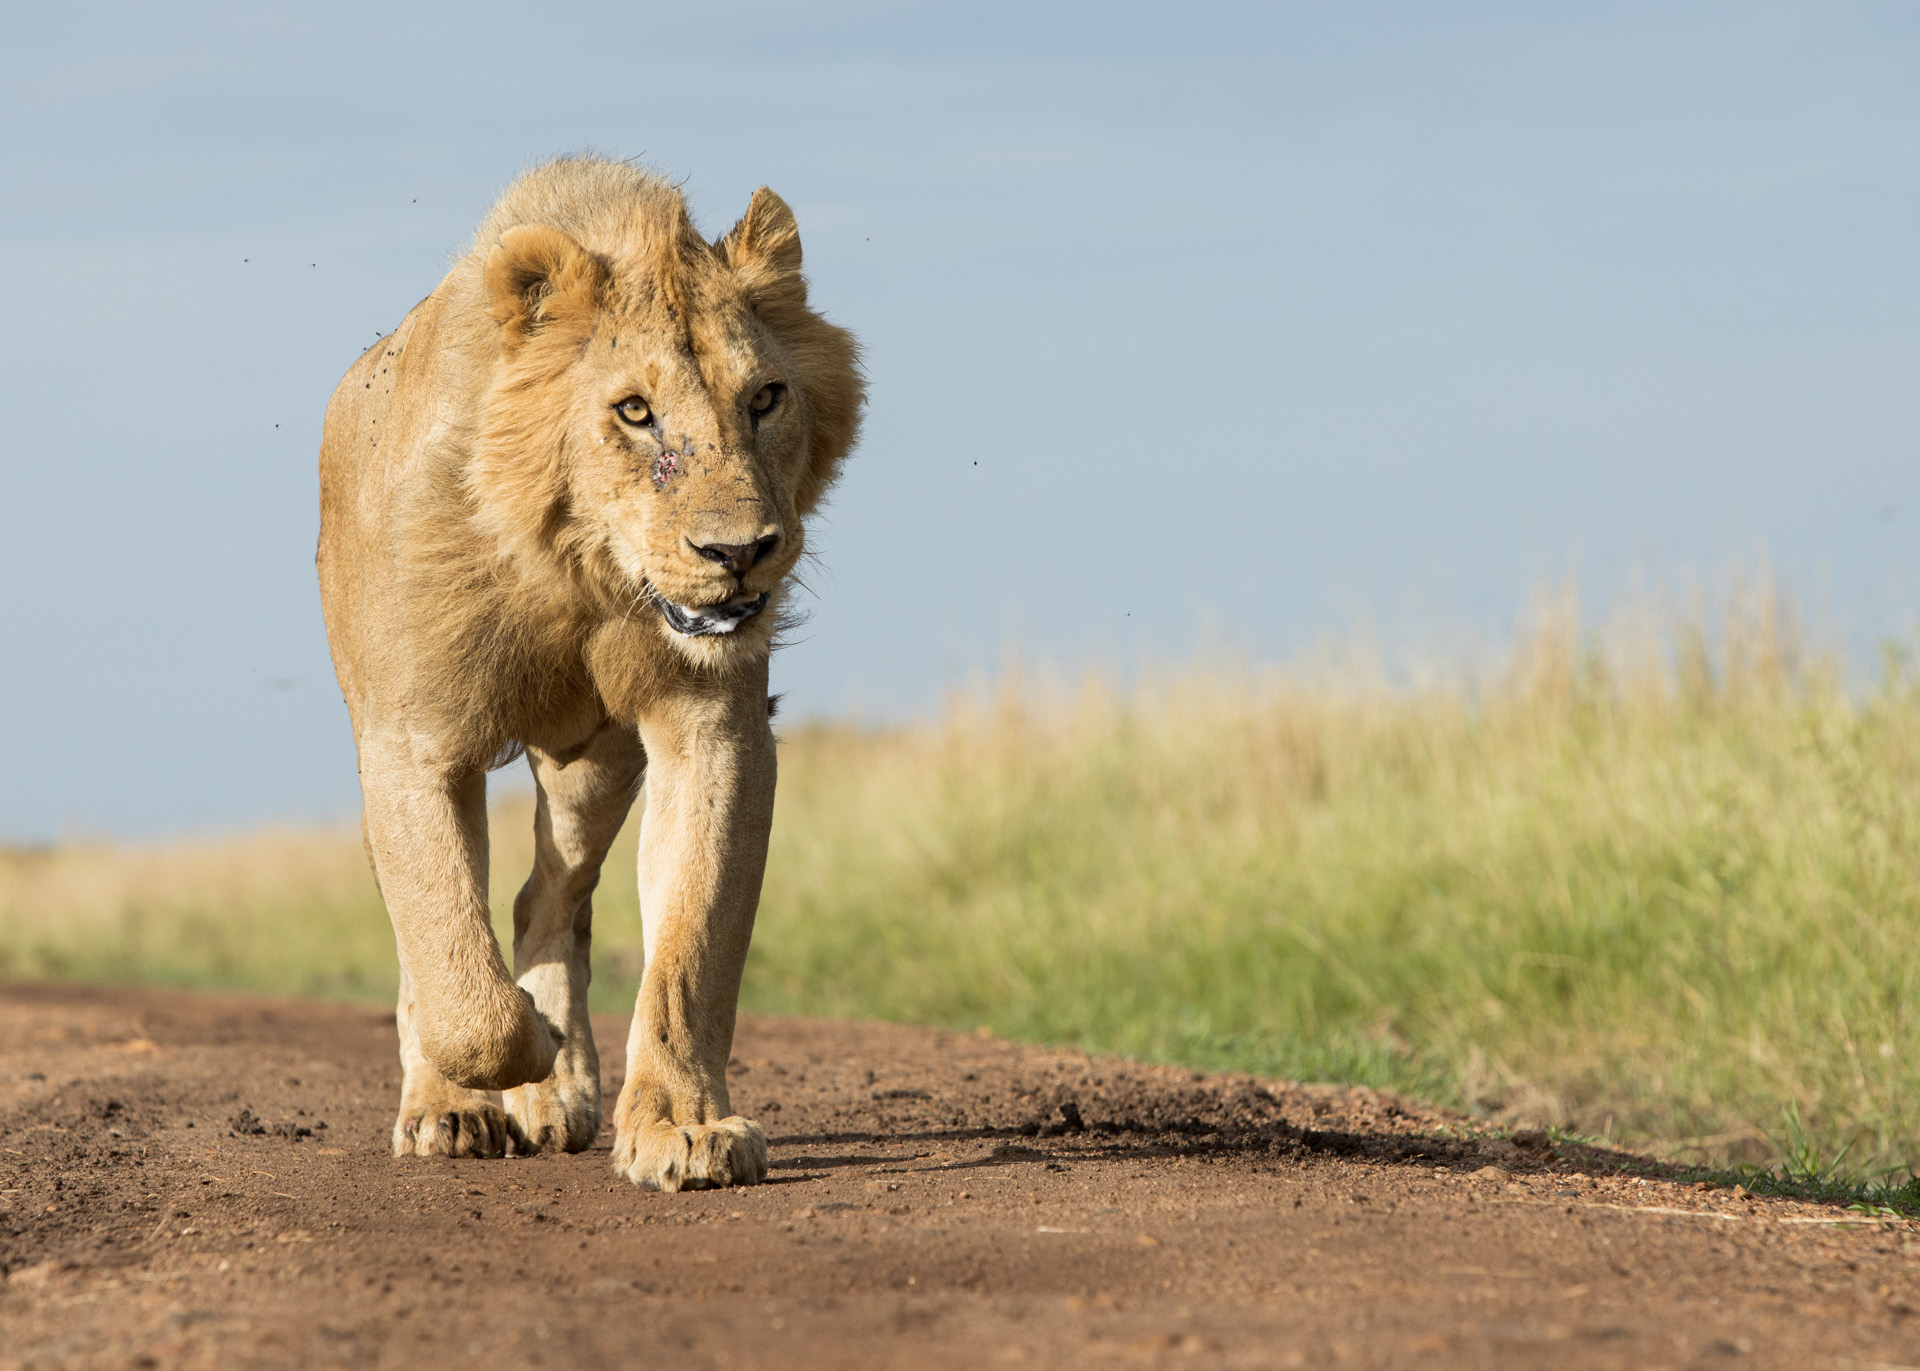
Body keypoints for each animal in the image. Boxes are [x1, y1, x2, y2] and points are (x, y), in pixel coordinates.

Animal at [316, 157, 864, 1182]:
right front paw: (517, 1046)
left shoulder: (709, 723)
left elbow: (691, 942)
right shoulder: (412, 741)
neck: (576, 568)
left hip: (592, 762)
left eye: (765, 398)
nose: (741, 554)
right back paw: (451, 1107)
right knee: (434, 950)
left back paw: (558, 1085)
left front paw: (682, 1126)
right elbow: (459, 983)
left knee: (549, 894)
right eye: (635, 411)